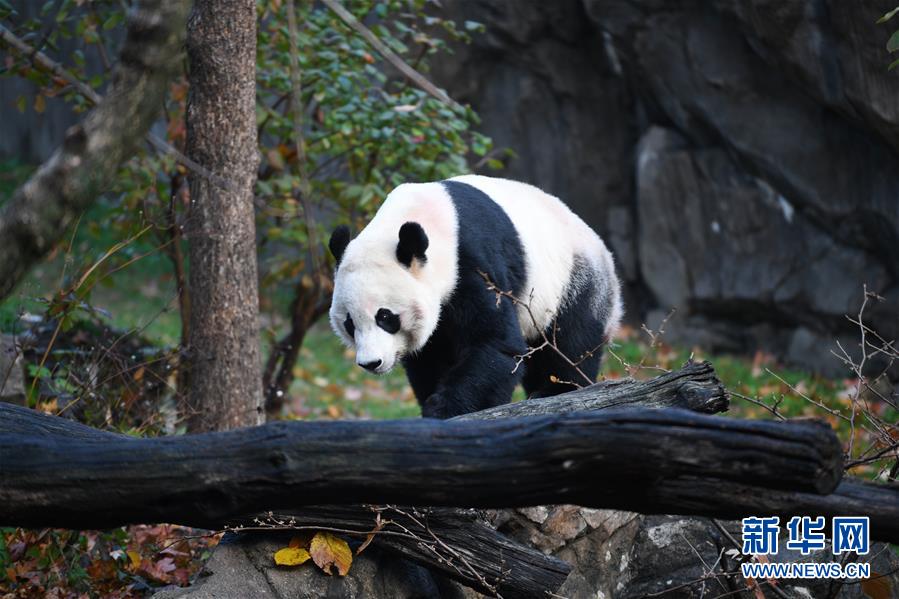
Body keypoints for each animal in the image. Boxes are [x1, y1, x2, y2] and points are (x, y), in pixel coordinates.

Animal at [326, 173, 624, 420]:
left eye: (386, 317)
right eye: (349, 324)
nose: (371, 363)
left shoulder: (472, 261)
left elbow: (493, 342)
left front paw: (444, 408)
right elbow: (430, 356)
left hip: (573, 279)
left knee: (569, 342)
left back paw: (555, 391)